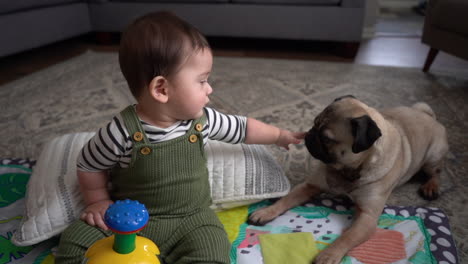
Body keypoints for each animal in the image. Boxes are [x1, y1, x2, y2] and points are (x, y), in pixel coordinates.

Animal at [249, 96, 450, 264]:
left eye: (326, 138)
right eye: (314, 123)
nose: (309, 134)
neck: (347, 171)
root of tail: (429, 116)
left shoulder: (367, 217)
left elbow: (348, 237)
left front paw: (329, 254)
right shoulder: (310, 185)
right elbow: (285, 200)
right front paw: (266, 211)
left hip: (432, 157)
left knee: (437, 172)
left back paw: (431, 187)